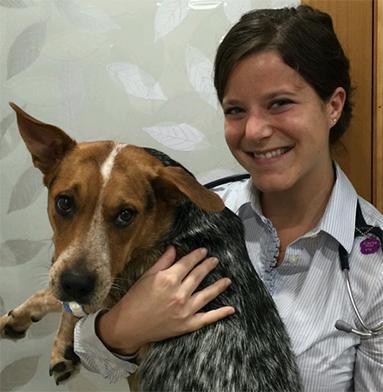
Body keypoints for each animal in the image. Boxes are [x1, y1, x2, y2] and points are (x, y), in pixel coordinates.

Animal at [0, 104, 304, 392]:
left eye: (126, 214)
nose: (75, 283)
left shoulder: (113, 287)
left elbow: (60, 301)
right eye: (63, 202)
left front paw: (42, 332)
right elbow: (58, 295)